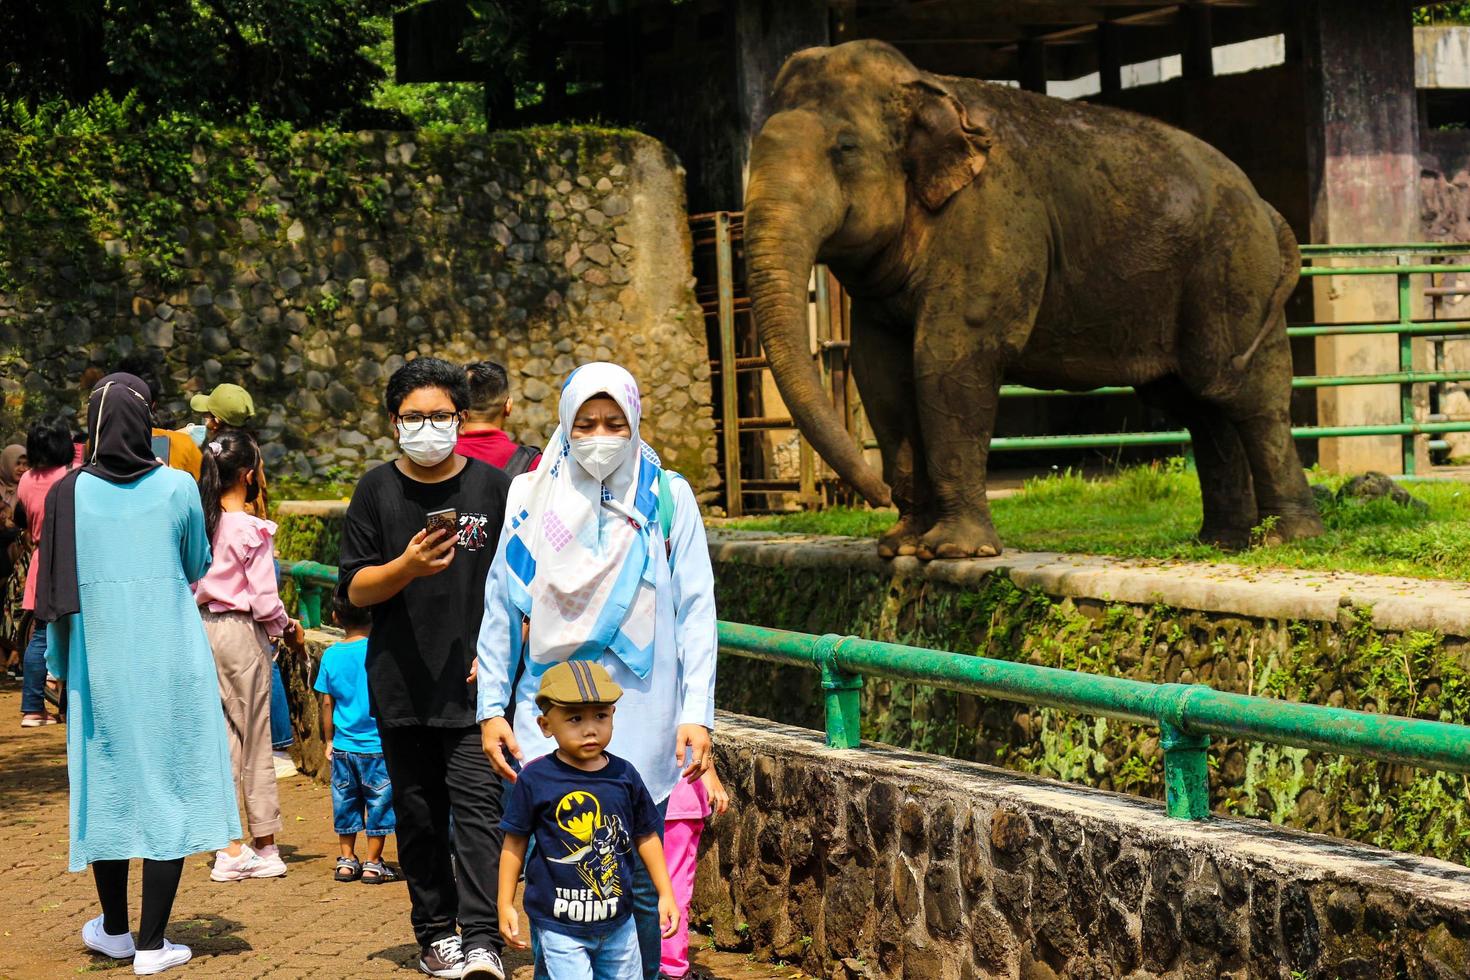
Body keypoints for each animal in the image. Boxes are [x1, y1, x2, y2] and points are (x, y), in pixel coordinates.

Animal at [740, 40, 1328, 558]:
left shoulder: (989, 220)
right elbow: (880, 370)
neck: (928, 87)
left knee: (1243, 394)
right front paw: (899, 548)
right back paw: (1220, 542)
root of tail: (1265, 207)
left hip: (1234, 271)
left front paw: (954, 552)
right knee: (1195, 403)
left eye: (844, 148)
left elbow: (949, 356)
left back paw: (1286, 540)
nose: (881, 495)